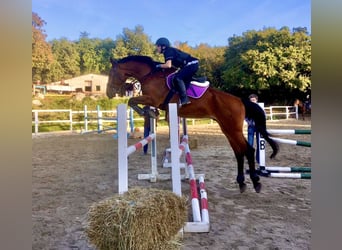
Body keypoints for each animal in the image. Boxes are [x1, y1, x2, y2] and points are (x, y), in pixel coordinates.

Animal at [106, 55, 278, 193]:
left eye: (112, 73)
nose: (108, 93)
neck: (150, 75)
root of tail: (240, 100)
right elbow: (134, 101)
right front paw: (150, 113)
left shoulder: (153, 99)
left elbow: (131, 100)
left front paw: (148, 113)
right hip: (227, 129)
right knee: (238, 152)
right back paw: (241, 182)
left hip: (233, 129)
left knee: (248, 150)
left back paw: (255, 182)